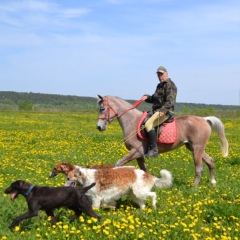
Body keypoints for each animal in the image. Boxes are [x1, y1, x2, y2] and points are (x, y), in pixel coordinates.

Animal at [96, 94, 229, 187]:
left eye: (102, 109)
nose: (99, 127)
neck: (132, 121)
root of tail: (204, 119)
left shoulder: (136, 151)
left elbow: (118, 163)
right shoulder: (139, 155)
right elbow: (144, 170)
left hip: (197, 149)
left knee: (199, 168)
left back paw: (194, 188)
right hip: (195, 148)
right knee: (210, 161)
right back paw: (213, 182)